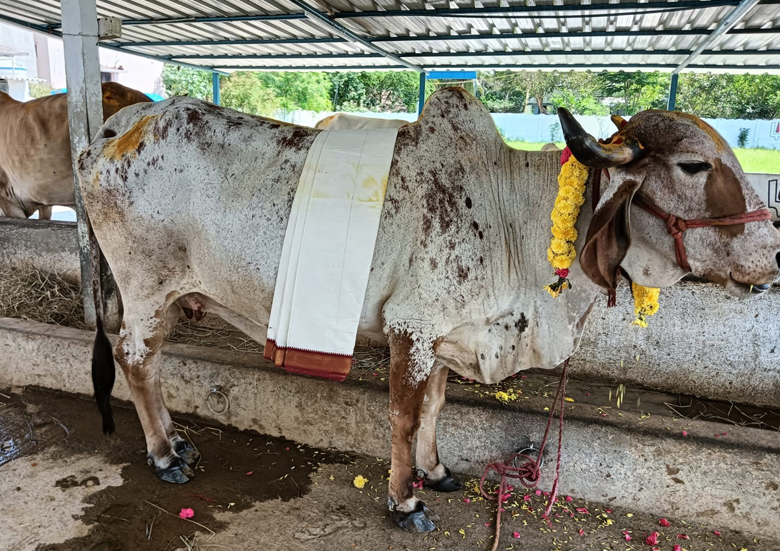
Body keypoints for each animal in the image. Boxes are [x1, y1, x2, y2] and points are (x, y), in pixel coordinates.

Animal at [76, 87, 780, 533]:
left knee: (149, 363)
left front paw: (435, 471)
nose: (773, 253)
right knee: (136, 360)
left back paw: (176, 442)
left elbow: (437, 410)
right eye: (693, 165)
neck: (512, 216)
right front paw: (403, 501)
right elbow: (404, 418)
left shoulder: (449, 334)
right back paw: (164, 455)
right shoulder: (409, 329)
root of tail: (116, 129)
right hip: (147, 290)